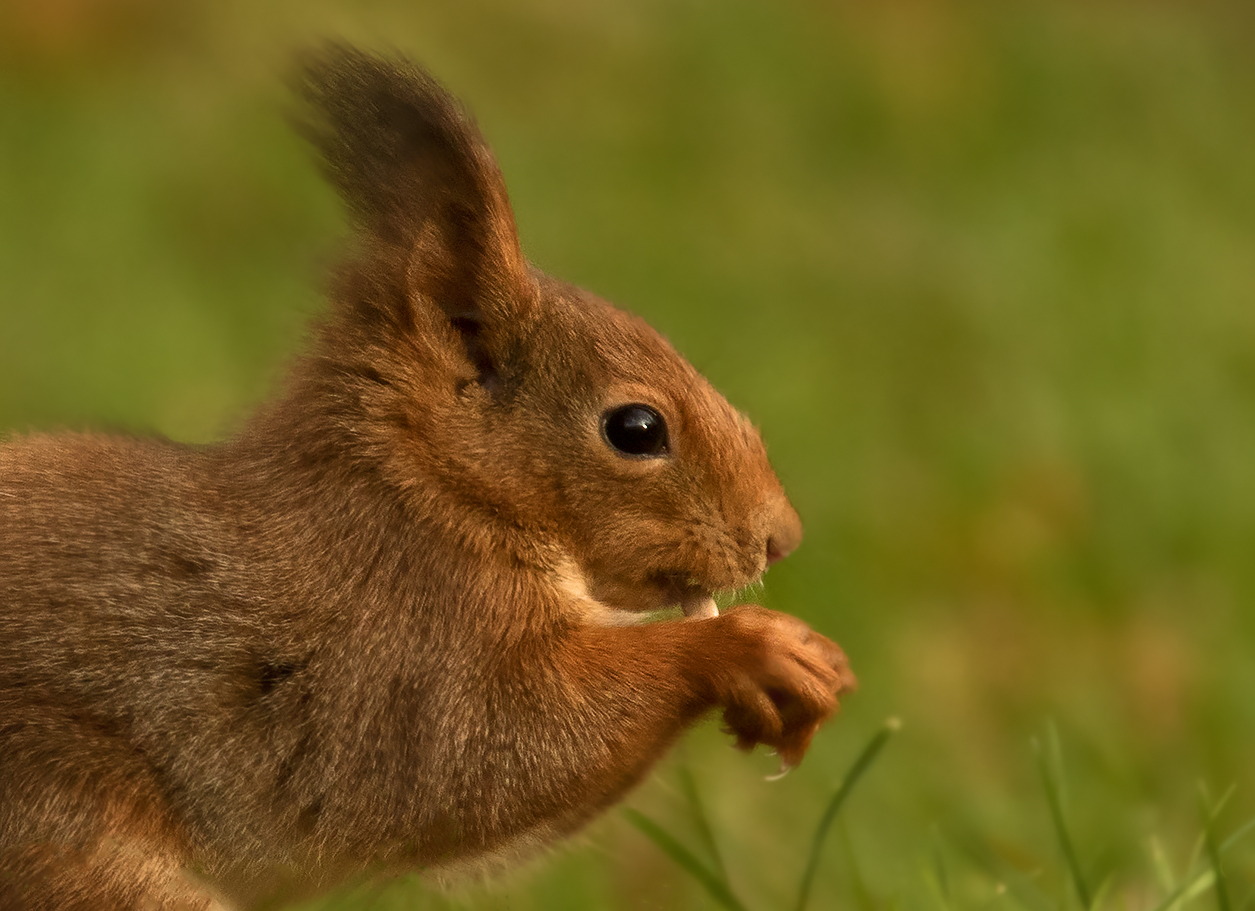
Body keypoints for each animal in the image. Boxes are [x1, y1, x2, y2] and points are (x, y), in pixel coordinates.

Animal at [0, 46, 853, 908]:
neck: (424, 488)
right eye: (636, 429)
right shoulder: (396, 647)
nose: (780, 538)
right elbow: (488, 751)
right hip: (63, 828)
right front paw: (749, 648)